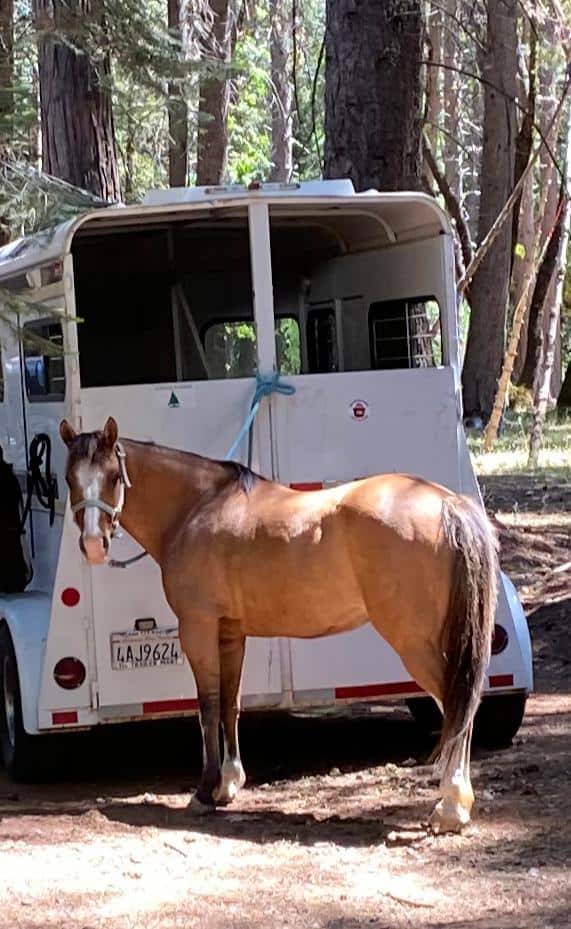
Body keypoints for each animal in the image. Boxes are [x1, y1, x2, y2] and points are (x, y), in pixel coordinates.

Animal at [60, 416, 498, 832]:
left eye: (113, 477)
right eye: (69, 479)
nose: (94, 545)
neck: (198, 507)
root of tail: (447, 503)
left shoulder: (198, 627)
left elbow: (208, 705)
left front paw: (204, 792)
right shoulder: (230, 632)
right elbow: (230, 702)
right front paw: (229, 783)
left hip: (414, 643)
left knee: (456, 704)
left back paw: (450, 808)